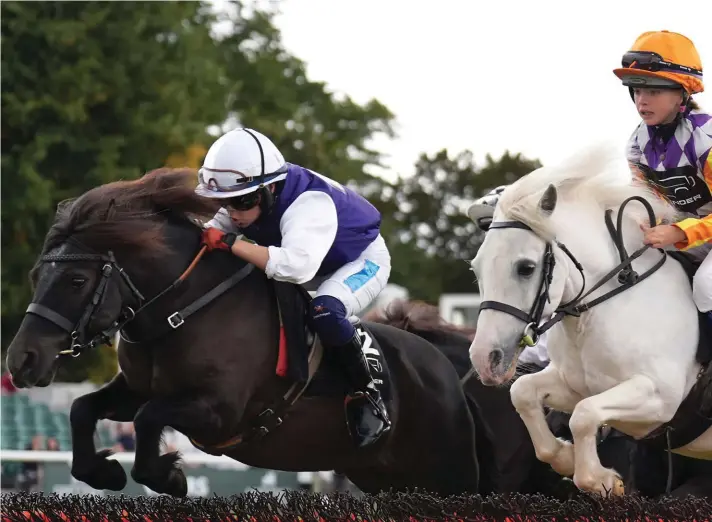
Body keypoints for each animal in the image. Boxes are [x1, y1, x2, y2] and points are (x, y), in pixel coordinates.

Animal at [4, 167, 484, 496]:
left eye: (76, 281)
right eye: (35, 276)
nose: (21, 360)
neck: (183, 312)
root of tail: (445, 366)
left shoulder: (219, 409)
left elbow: (148, 420)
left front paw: (169, 475)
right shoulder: (137, 389)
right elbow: (82, 408)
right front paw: (103, 470)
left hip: (449, 471)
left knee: (329, 311)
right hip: (384, 475)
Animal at [464, 143, 712, 496]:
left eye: (526, 268)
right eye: (476, 268)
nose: (484, 359)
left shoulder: (659, 397)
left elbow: (583, 415)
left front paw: (600, 480)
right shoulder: (575, 386)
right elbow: (523, 393)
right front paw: (565, 458)